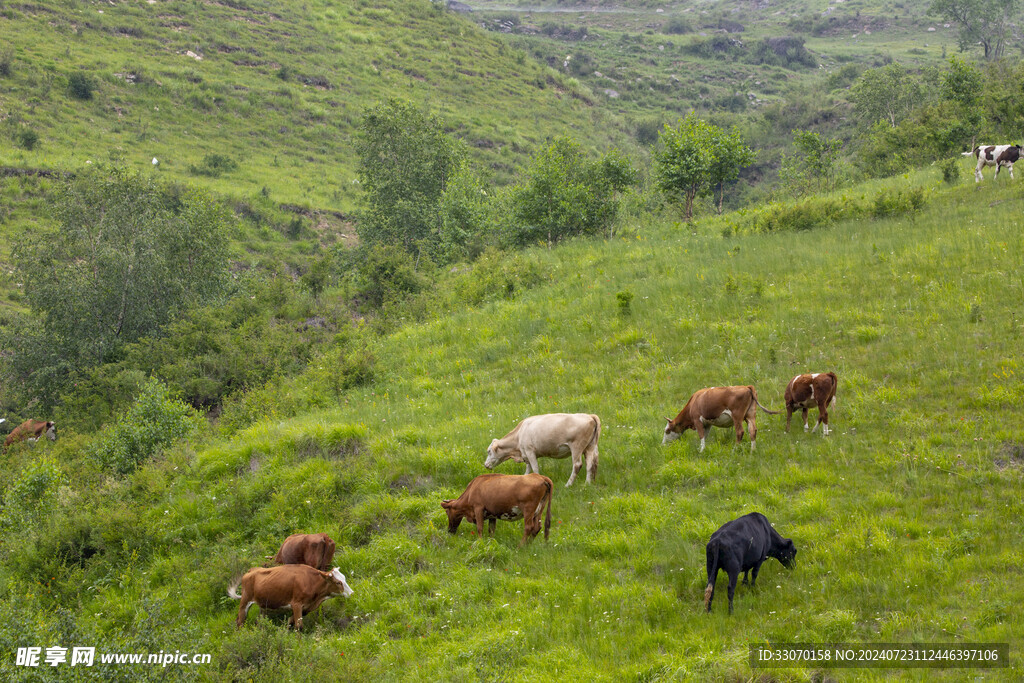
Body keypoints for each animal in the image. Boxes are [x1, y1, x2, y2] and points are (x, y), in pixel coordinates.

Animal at [226, 565, 354, 630]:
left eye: (344, 578)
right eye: (338, 582)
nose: (351, 593)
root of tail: (252, 570)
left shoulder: (306, 607)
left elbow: (290, 622)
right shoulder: (296, 604)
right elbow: (299, 626)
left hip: (263, 606)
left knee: (258, 621)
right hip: (245, 601)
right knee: (240, 621)